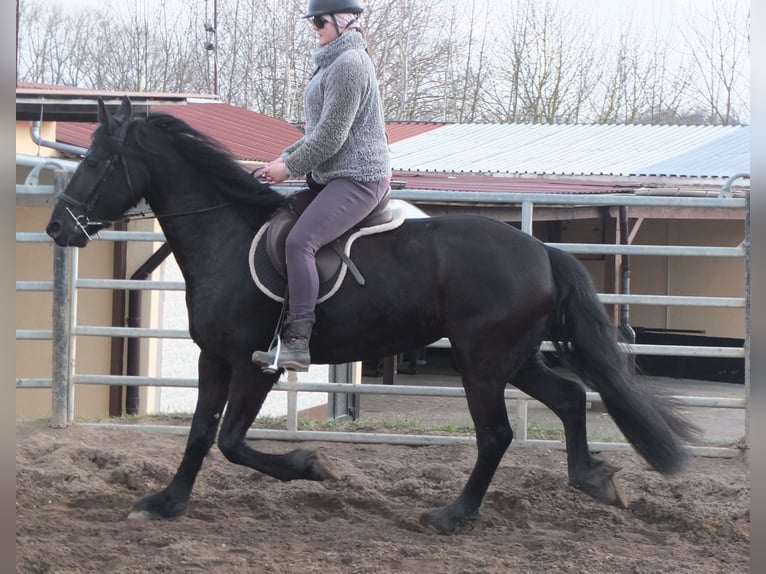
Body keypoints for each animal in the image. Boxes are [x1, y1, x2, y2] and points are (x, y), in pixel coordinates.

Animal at [45, 98, 700, 536]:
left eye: (97, 161)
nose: (56, 228)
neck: (225, 236)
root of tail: (542, 250)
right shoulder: (215, 359)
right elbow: (202, 434)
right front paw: (166, 502)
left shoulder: (257, 365)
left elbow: (231, 440)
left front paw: (314, 466)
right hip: (510, 359)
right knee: (567, 398)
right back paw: (592, 479)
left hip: (482, 363)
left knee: (497, 433)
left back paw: (452, 515)